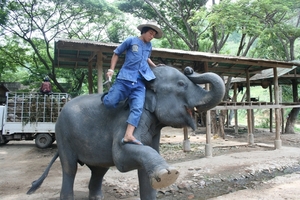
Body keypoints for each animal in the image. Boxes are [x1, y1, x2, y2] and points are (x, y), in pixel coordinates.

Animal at [27, 65, 225, 198]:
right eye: (182, 83)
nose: (189, 69)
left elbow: (146, 164)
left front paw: (159, 177)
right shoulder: (130, 116)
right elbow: (121, 157)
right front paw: (167, 174)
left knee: (98, 171)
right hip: (62, 133)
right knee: (70, 169)